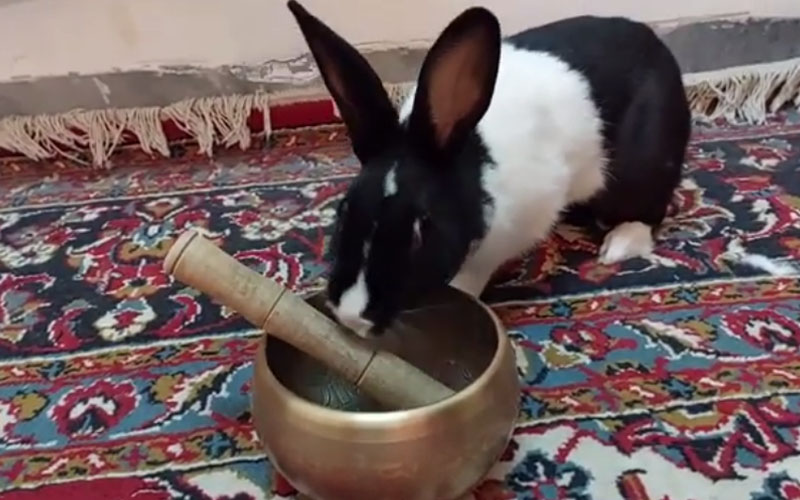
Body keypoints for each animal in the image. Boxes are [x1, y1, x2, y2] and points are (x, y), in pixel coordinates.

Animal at [287, 1, 691, 337]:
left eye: (421, 229)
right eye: (343, 212)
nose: (353, 317)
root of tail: (655, 42)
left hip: (644, 168)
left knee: (648, 210)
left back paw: (619, 246)